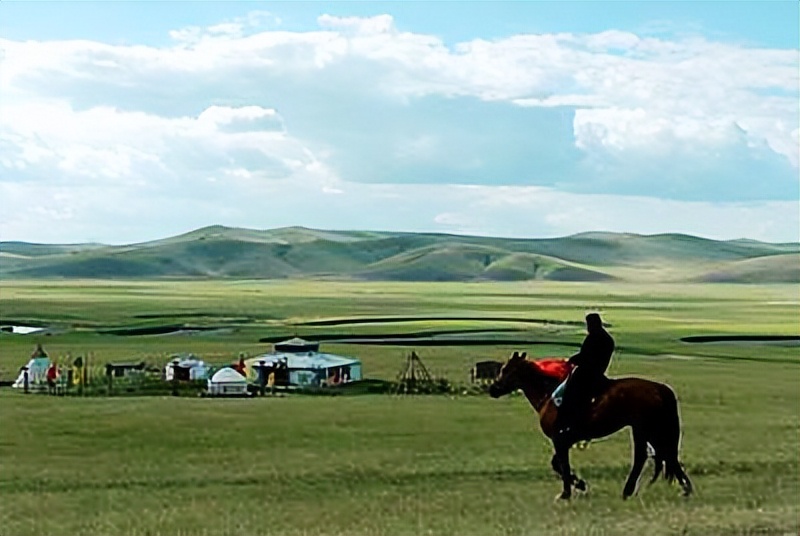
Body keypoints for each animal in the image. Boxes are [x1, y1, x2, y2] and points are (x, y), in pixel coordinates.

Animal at [488, 350, 692, 500]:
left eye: (506, 370)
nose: (493, 389)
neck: (549, 395)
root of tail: (658, 388)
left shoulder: (559, 439)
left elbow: (562, 464)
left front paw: (567, 492)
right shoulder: (566, 439)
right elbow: (557, 463)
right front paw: (579, 484)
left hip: (643, 428)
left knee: (645, 457)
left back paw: (630, 491)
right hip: (649, 429)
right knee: (666, 454)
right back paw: (685, 488)